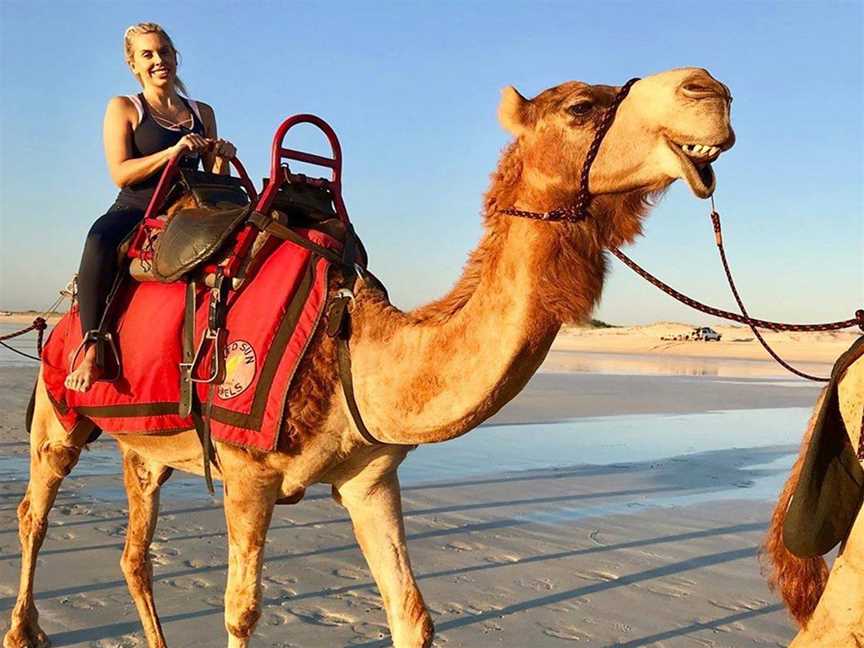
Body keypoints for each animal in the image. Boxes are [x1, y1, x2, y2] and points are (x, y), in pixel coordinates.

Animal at [5, 67, 736, 648]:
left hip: (146, 446)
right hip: (60, 413)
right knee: (33, 510)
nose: (709, 89)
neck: (348, 346)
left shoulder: (372, 477)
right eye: (581, 106)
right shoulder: (247, 475)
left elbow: (412, 615)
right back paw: (23, 629)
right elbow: (241, 613)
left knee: (135, 554)